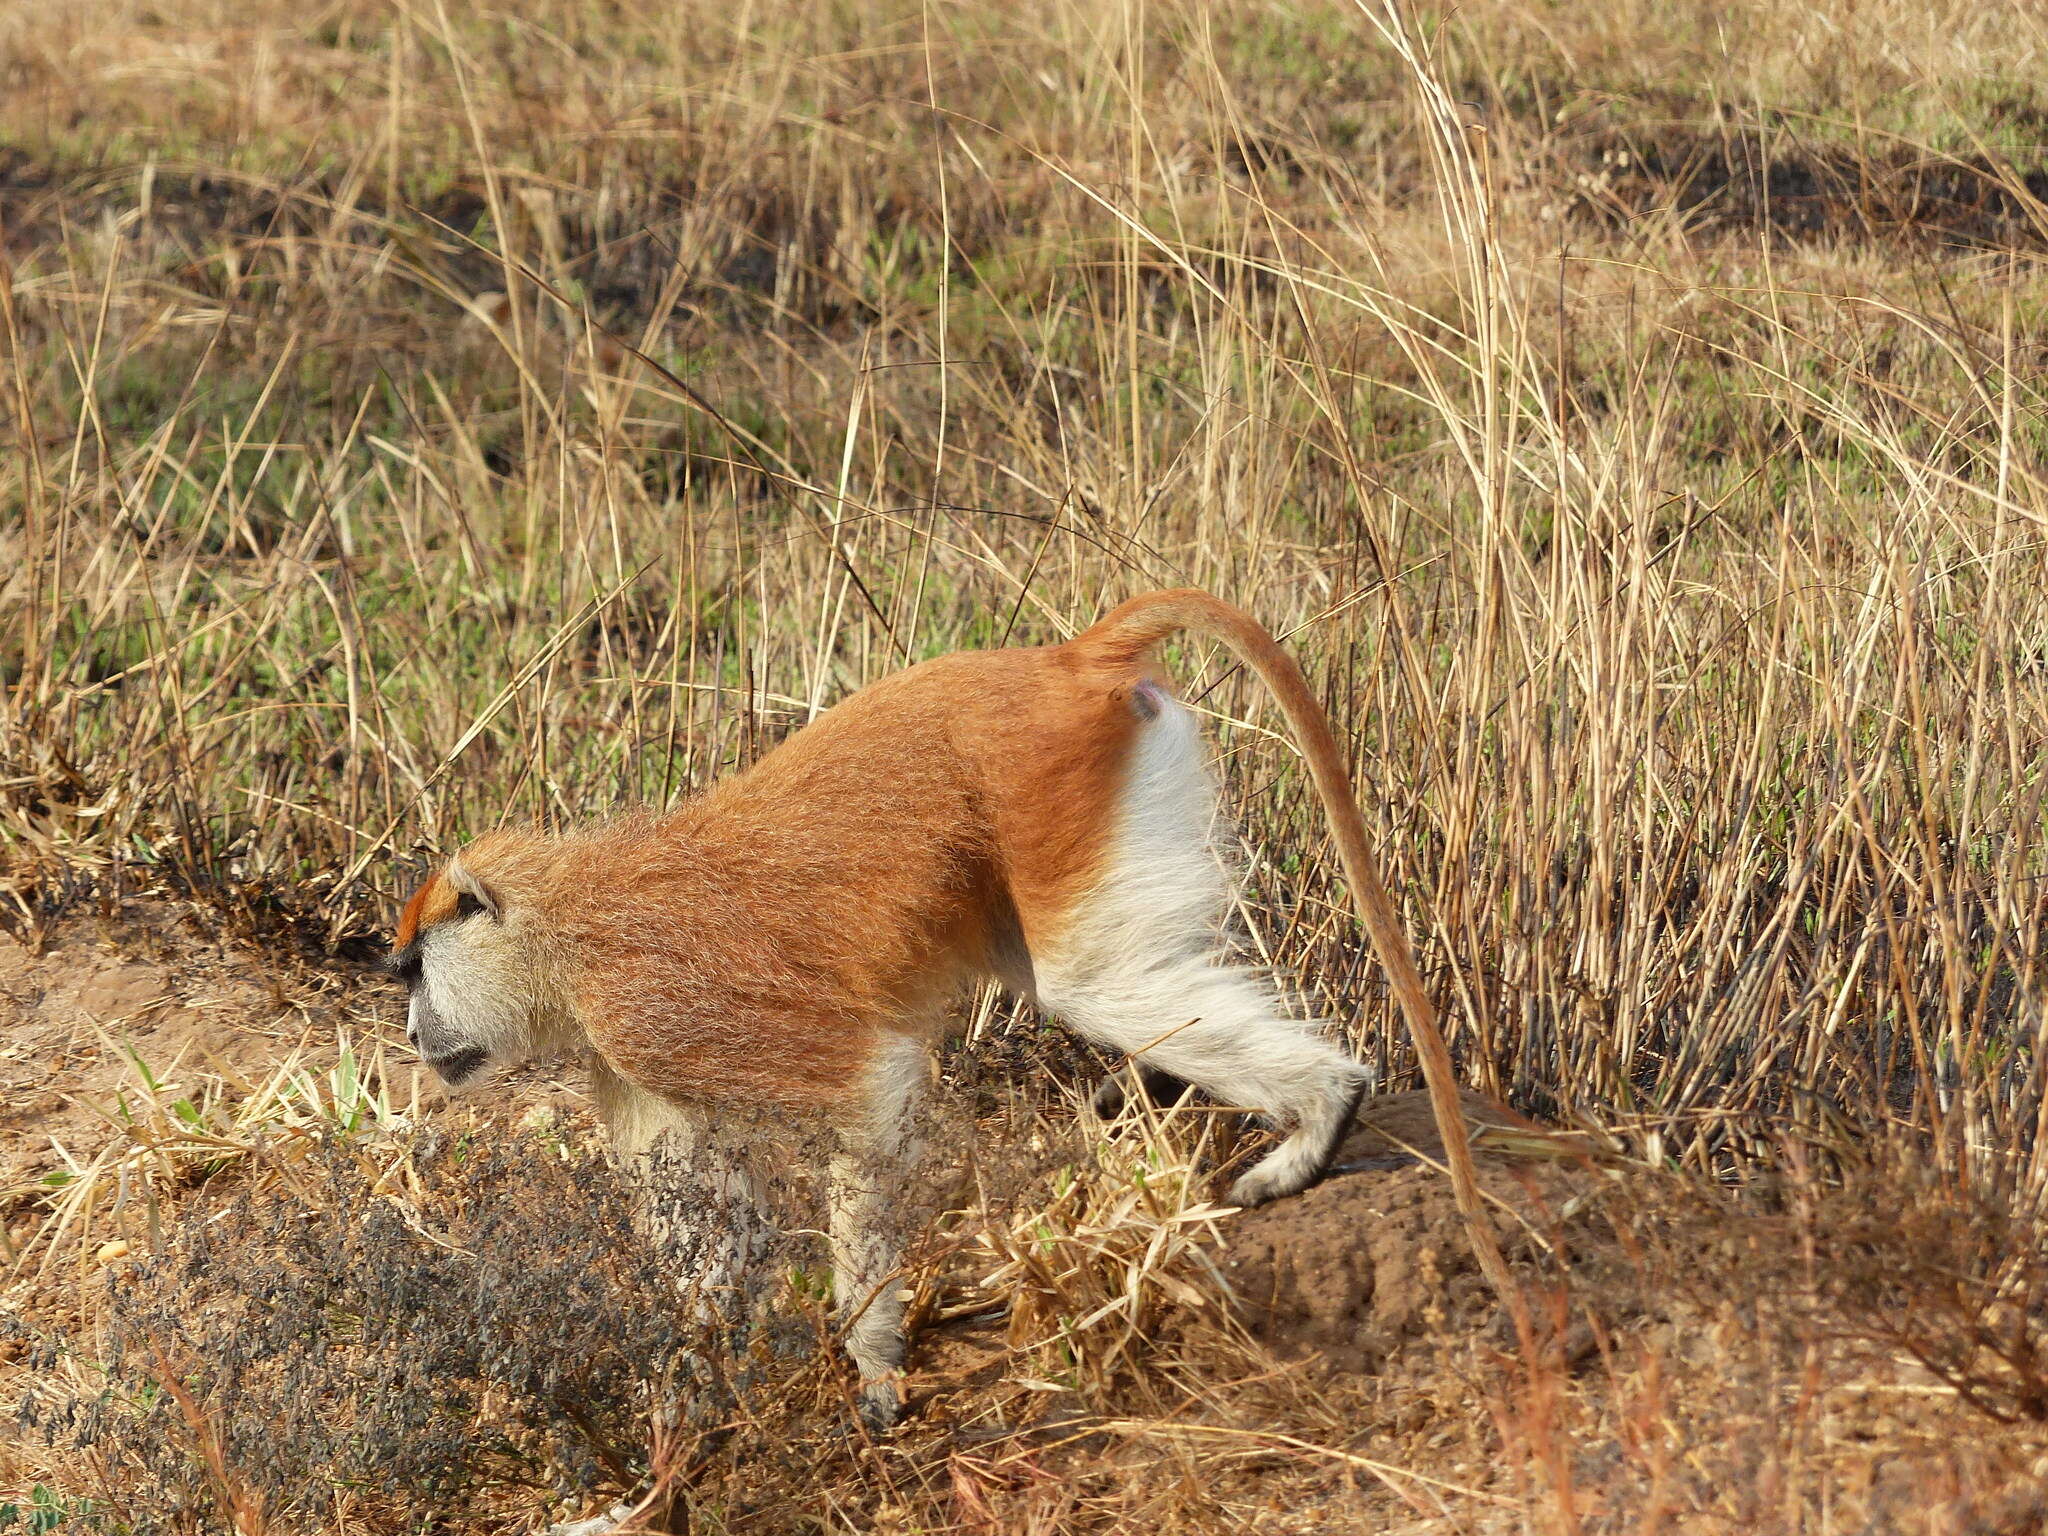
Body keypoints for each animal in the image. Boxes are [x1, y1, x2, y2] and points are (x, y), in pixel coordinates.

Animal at [385, 593, 1482, 1433]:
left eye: (410, 970)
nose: (409, 1030)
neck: (564, 926)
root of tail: (1061, 659)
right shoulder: (624, 1060)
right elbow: (700, 1208)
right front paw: (690, 1393)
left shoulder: (645, 1008)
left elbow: (870, 1089)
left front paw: (872, 1365)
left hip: (1051, 786)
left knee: (1092, 983)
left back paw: (1327, 1108)